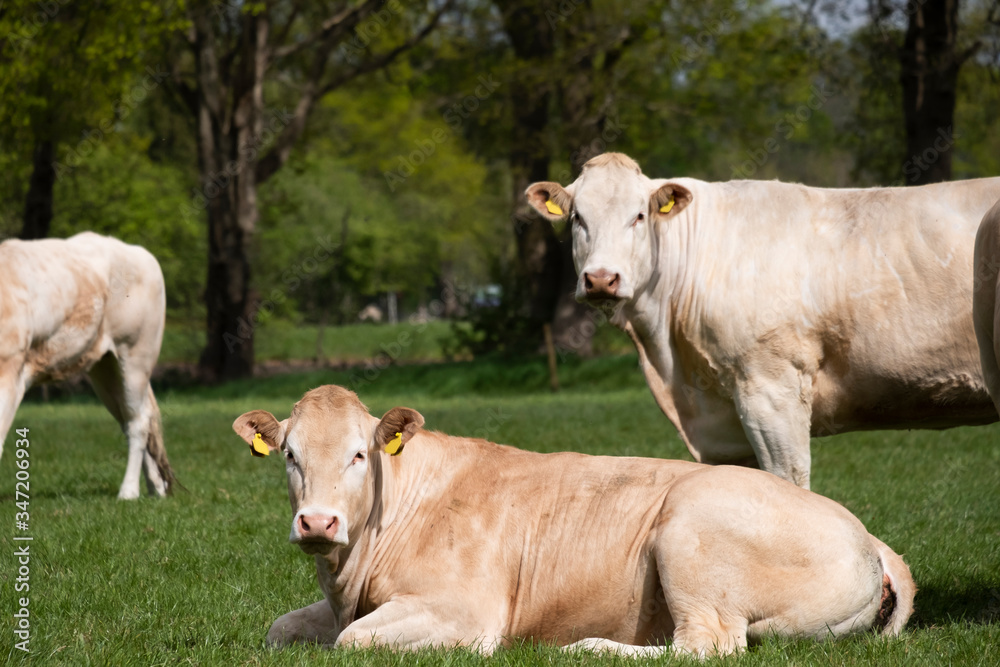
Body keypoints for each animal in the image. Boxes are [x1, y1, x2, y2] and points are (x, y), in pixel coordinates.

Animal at [0, 232, 175, 498]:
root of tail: (136, 251)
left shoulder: (10, 369)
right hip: (105, 368)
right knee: (131, 417)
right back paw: (155, 487)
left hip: (136, 353)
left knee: (138, 422)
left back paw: (128, 491)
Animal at [229, 386, 916, 656]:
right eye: (290, 455)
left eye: (358, 454)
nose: (318, 523)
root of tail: (868, 535)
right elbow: (280, 629)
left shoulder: (462, 611)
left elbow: (351, 641)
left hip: (691, 533)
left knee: (706, 644)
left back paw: (589, 647)